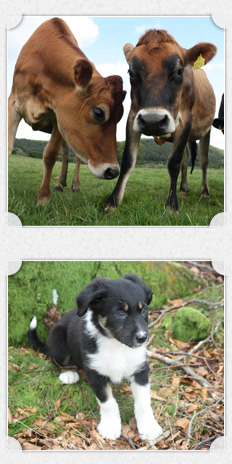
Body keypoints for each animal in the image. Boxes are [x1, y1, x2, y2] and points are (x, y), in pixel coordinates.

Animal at [8, 18, 125, 204]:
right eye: (99, 112)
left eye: (120, 116)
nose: (112, 171)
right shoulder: (13, 103)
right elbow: (8, 147)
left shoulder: (58, 117)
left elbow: (50, 154)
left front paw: (43, 198)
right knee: (65, 152)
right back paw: (60, 182)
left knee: (75, 156)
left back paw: (74, 184)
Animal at [28, 274, 163, 440]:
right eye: (120, 314)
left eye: (143, 310)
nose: (143, 338)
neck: (117, 346)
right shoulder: (96, 373)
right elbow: (108, 403)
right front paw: (110, 427)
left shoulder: (140, 370)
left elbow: (143, 402)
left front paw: (149, 427)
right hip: (57, 336)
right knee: (58, 360)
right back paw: (68, 373)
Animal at [106, 29, 217, 210]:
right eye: (131, 73)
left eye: (179, 71)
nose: (153, 120)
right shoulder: (133, 116)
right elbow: (128, 161)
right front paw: (113, 202)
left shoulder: (186, 119)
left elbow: (174, 162)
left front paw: (171, 205)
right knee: (186, 160)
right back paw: (183, 189)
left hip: (206, 130)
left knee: (204, 161)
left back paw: (205, 193)